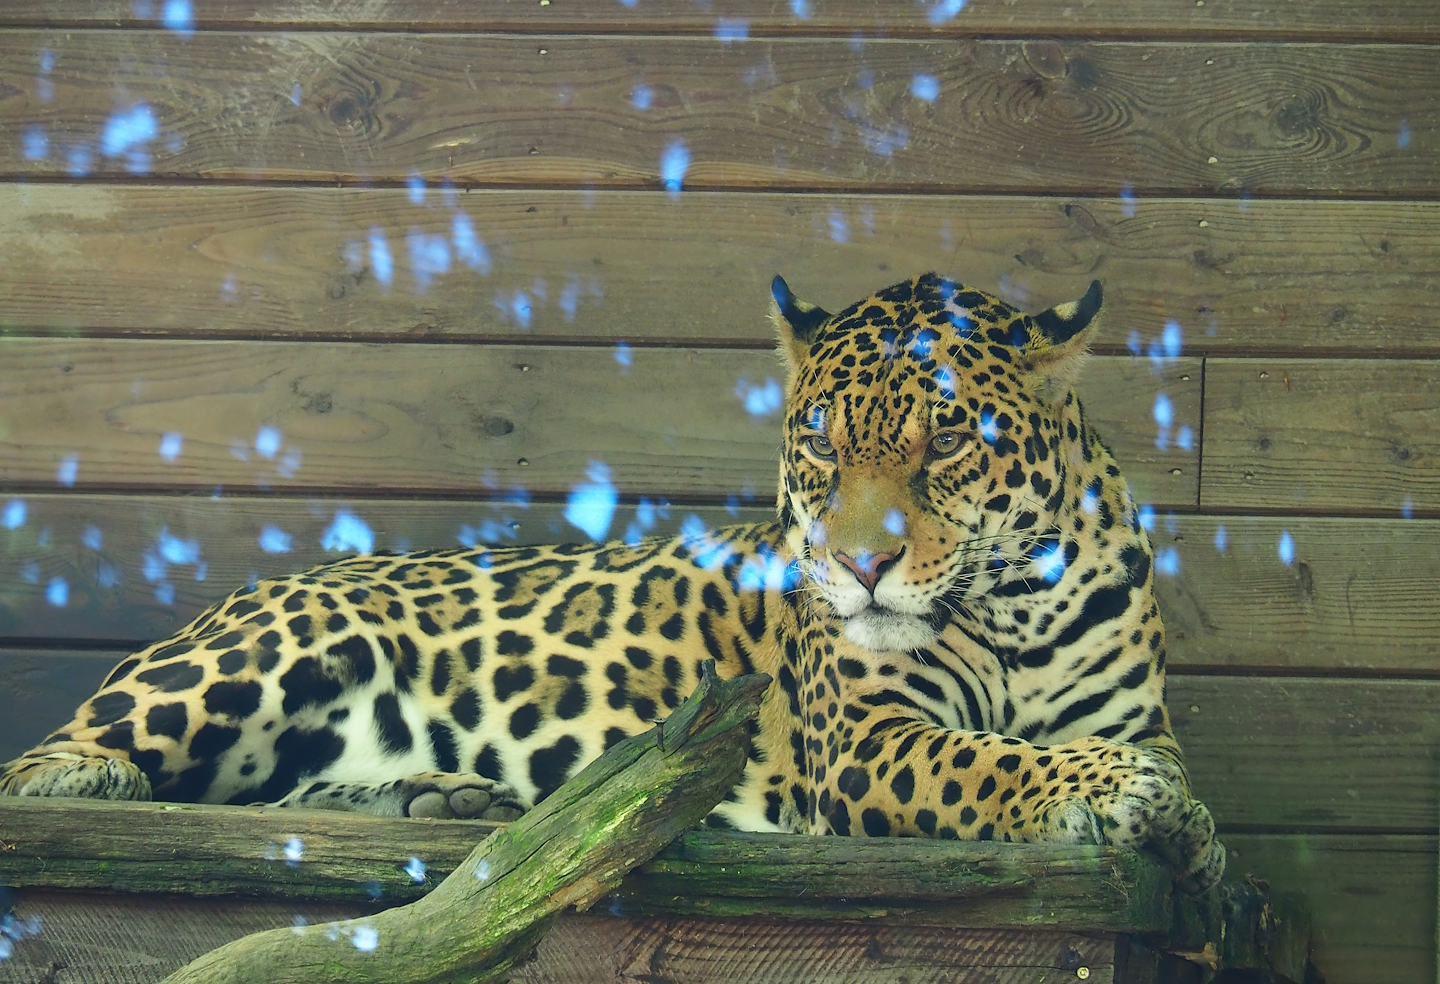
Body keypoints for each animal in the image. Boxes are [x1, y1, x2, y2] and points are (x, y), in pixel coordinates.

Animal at [2, 272, 1224, 894]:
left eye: (950, 441)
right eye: (821, 444)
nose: (859, 566)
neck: (1016, 604)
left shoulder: (1130, 711)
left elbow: (1087, 751)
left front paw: (1192, 825)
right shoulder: (867, 742)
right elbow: (995, 761)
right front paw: (1125, 795)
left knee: (272, 794)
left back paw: (442, 797)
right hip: (277, 648)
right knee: (51, 763)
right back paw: (92, 782)